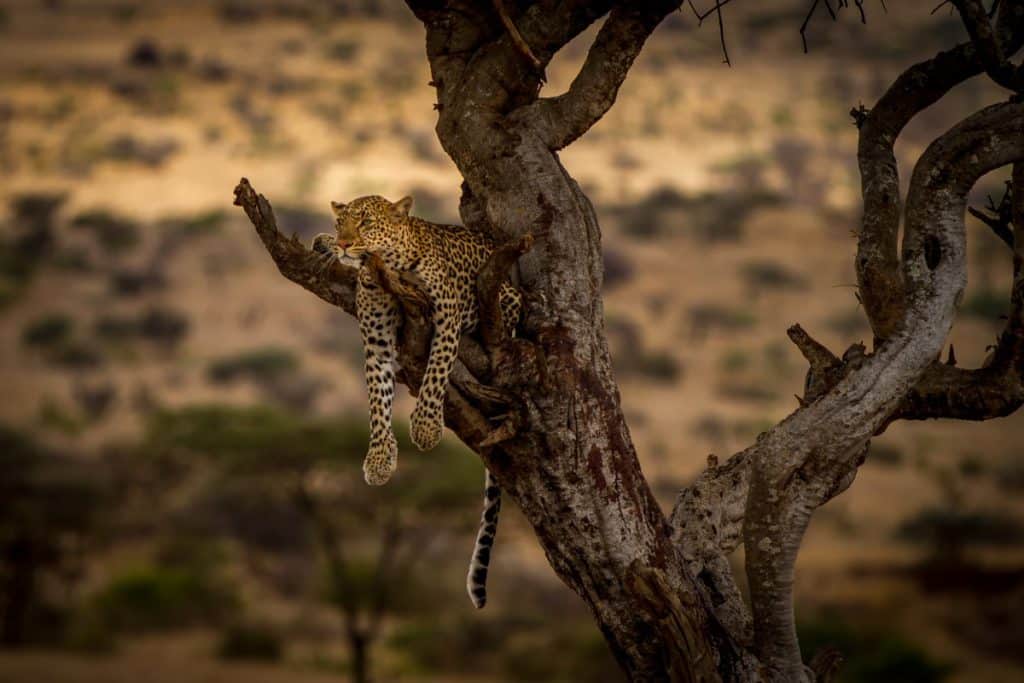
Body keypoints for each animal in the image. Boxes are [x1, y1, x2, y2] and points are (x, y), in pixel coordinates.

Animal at [311, 194, 520, 608]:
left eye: (366, 223)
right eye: (342, 222)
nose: (343, 242)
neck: (391, 268)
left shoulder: (448, 317)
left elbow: (436, 369)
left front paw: (425, 429)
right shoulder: (376, 341)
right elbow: (377, 402)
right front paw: (379, 461)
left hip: (508, 303)